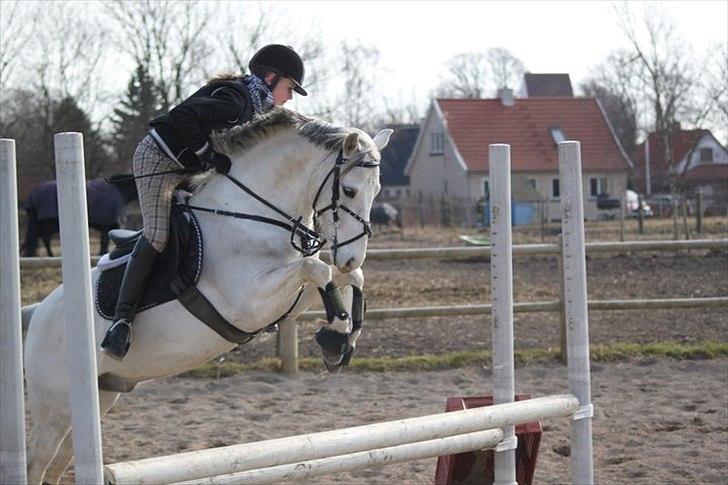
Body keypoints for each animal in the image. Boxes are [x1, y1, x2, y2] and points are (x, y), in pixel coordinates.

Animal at [22, 108, 392, 484]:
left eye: (376, 189)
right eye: (348, 190)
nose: (352, 255)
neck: (249, 213)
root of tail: (38, 314)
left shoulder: (286, 296)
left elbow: (342, 275)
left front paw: (340, 339)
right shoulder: (248, 300)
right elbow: (320, 270)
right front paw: (335, 336)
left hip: (100, 395)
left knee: (58, 464)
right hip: (55, 405)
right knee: (38, 462)